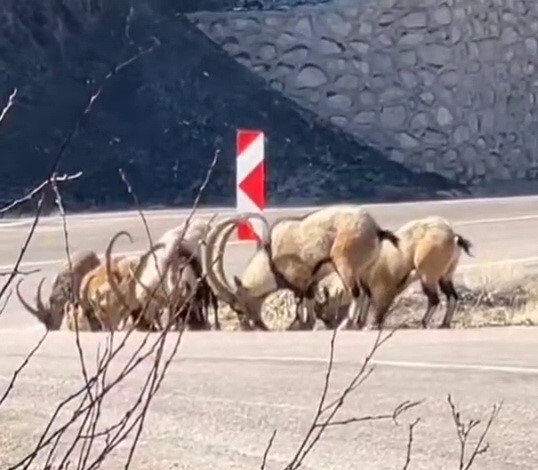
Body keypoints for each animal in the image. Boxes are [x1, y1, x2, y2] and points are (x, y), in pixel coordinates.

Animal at [203, 206, 396, 330]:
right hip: (364, 268)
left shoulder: (300, 277)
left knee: (357, 293)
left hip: (345, 264)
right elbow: (308, 298)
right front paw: (307, 322)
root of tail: (375, 230)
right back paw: (361, 323)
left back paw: (347, 324)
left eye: (237, 306)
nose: (251, 325)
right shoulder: (311, 280)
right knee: (367, 293)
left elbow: (300, 299)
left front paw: (301, 324)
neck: (271, 260)